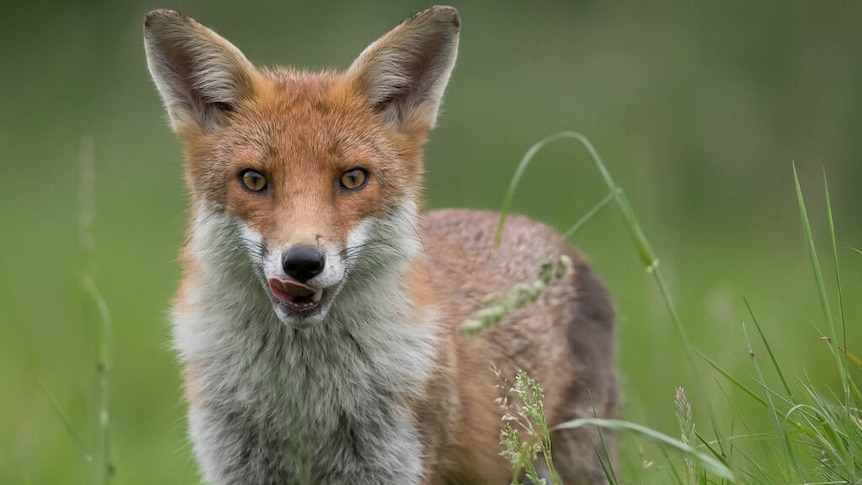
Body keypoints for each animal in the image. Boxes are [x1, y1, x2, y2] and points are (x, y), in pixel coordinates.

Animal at [147, 4, 620, 484]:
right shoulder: (236, 468)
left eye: (353, 178)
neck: (304, 403)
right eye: (254, 180)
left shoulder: (393, 464)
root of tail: (558, 244)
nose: (303, 262)